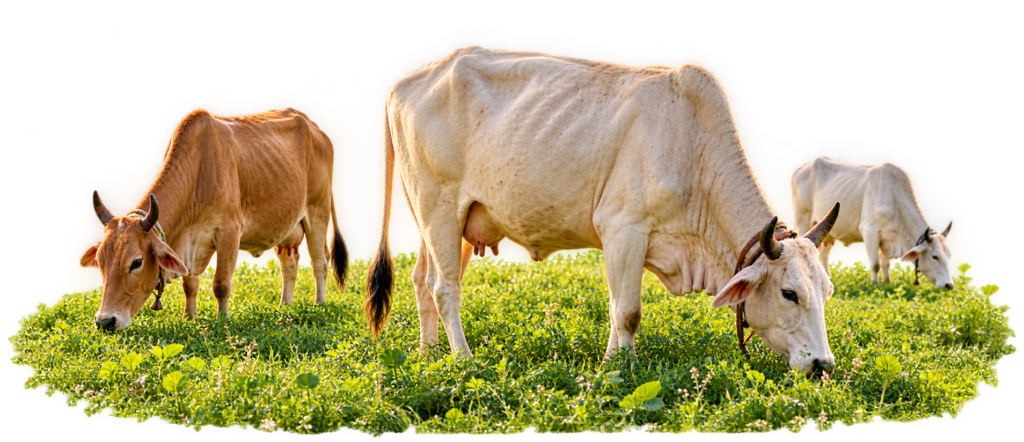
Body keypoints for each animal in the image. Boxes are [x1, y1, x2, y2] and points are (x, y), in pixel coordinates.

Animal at [80, 107, 349, 331]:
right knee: (289, 265)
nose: (104, 321)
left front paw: (222, 320)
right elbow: (190, 285)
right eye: (101, 261)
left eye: (136, 262)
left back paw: (319, 304)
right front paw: (189, 317)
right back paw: (285, 306)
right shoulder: (190, 244)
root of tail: (315, 128)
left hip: (317, 213)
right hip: (286, 229)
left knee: (319, 262)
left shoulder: (229, 232)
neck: (198, 171)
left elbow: (221, 284)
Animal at [363, 46, 843, 377]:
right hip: (439, 208)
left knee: (422, 281)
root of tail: (407, 82)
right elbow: (627, 311)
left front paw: (614, 361)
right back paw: (463, 360)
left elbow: (616, 310)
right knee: (445, 289)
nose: (823, 364)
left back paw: (429, 355)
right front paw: (619, 370)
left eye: (827, 291)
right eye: (789, 293)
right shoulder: (624, 229)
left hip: (448, 221)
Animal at [791, 156, 954, 289]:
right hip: (803, 220)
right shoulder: (870, 231)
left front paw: (888, 282)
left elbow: (885, 263)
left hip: (826, 231)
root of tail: (801, 168)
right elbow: (875, 264)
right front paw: (875, 284)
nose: (949, 285)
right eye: (935, 256)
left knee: (824, 255)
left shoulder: (886, 238)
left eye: (949, 256)